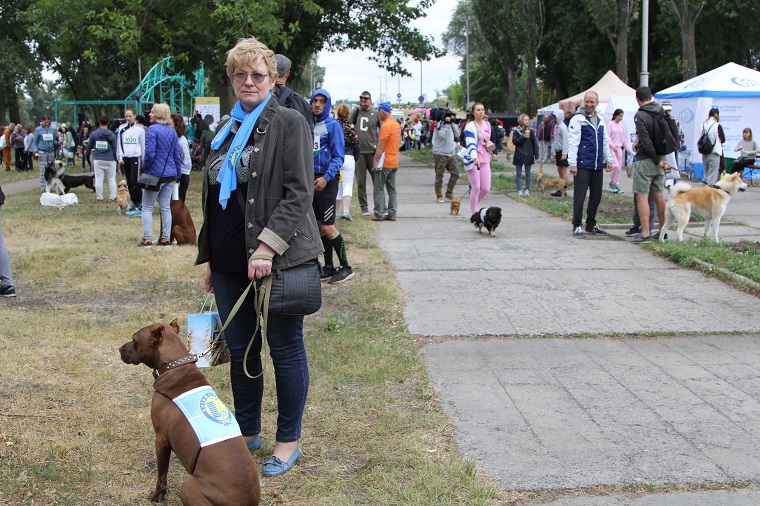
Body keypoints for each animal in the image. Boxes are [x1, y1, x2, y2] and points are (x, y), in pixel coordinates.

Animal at [120, 320, 260, 506]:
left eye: (134, 339)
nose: (120, 349)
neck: (175, 365)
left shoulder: (161, 440)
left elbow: (161, 475)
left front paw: (158, 495)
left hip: (188, 485)